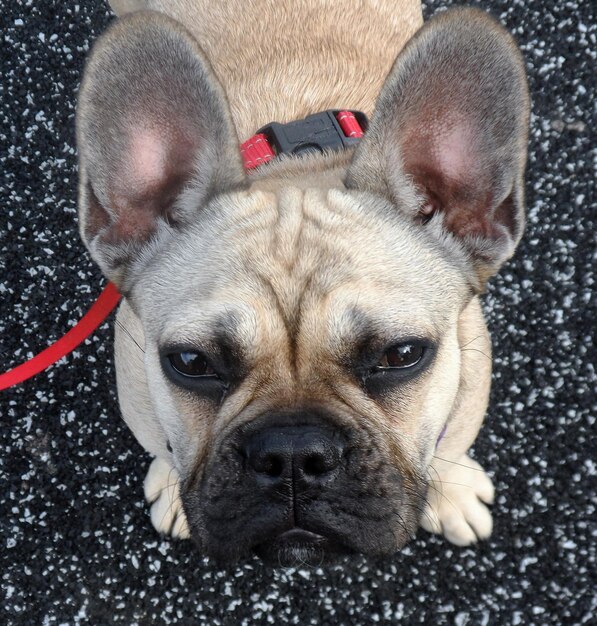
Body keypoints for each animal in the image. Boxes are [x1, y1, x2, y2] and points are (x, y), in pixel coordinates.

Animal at [74, 0, 528, 564]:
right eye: (191, 362)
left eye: (401, 354)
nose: (292, 454)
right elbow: (163, 444)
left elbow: (447, 446)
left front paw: (454, 493)